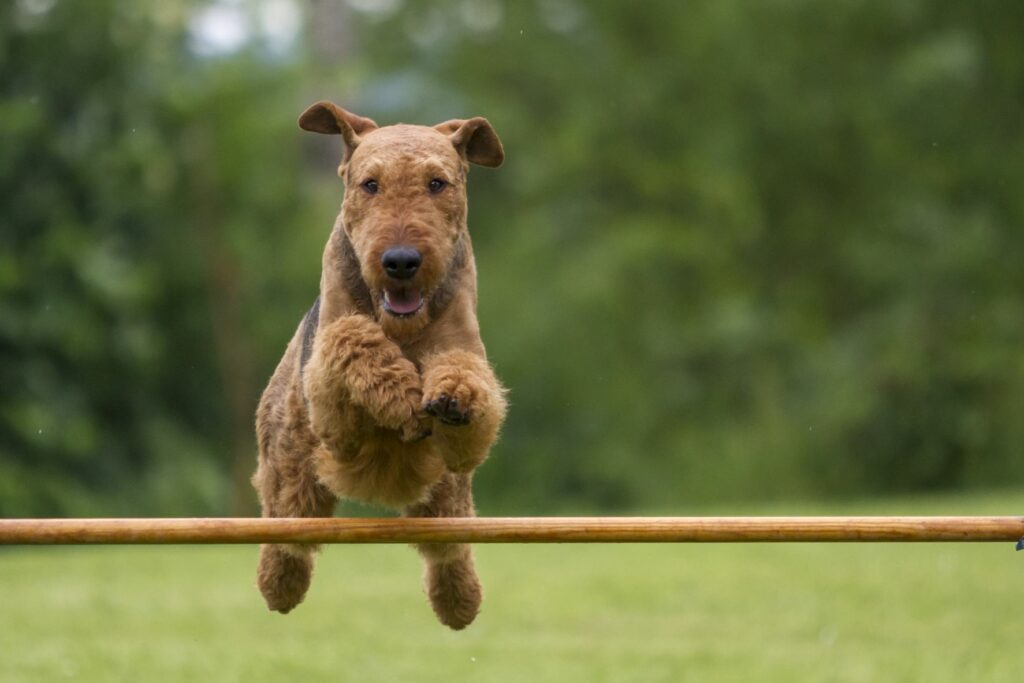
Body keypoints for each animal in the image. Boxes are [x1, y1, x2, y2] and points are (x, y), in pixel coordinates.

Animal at [251, 100, 507, 630]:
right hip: (293, 473)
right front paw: (402, 397)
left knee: (449, 551)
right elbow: (352, 338)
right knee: (285, 535)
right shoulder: (332, 413)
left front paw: (451, 398)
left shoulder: (466, 355)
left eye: (437, 183)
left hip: (446, 497)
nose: (401, 260)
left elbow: (467, 377)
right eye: (370, 184)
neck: (403, 330)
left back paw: (460, 604)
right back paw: (278, 587)